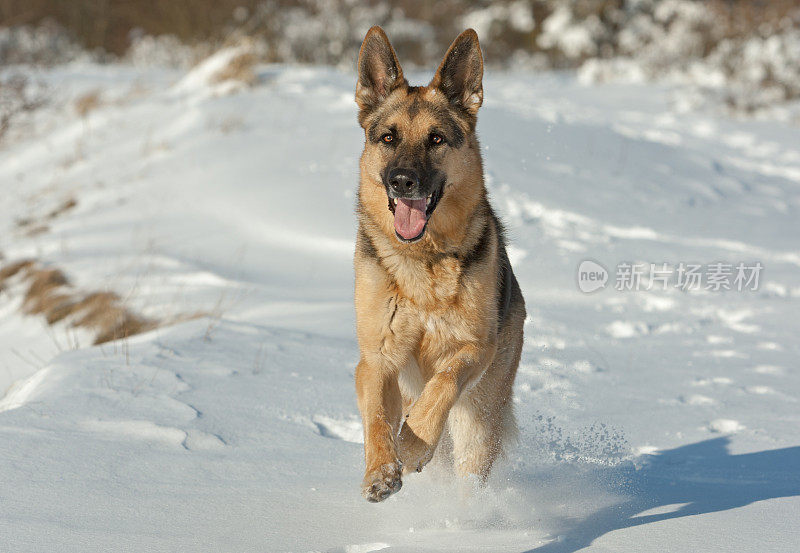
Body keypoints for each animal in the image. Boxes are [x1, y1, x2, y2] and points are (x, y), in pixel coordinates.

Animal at [352, 27, 524, 500]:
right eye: (388, 138)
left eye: (436, 139)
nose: (402, 181)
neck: (422, 261)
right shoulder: (376, 359)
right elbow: (376, 417)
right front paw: (381, 470)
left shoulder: (474, 347)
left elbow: (443, 384)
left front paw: (412, 446)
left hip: (478, 421)